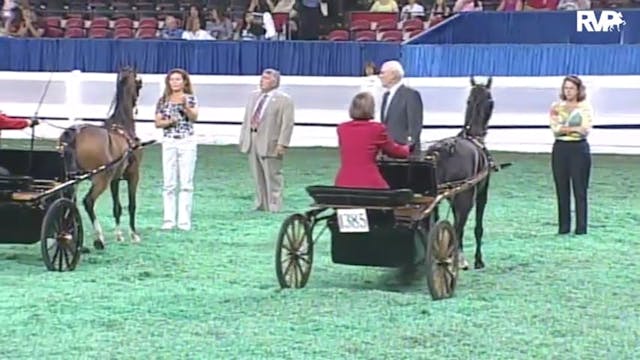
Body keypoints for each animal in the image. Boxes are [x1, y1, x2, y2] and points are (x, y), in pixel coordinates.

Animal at [57, 65, 144, 250]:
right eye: (139, 82)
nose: (136, 101)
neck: (122, 125)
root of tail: (75, 134)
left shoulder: (115, 179)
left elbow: (117, 207)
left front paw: (119, 235)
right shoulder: (133, 174)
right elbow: (132, 205)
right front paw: (133, 235)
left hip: (73, 179)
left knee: (70, 202)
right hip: (100, 179)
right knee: (87, 201)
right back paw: (99, 238)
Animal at [428, 77, 498, 272]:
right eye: (491, 101)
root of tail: (443, 150)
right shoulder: (481, 193)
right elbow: (477, 227)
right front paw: (477, 260)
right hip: (465, 198)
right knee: (457, 227)